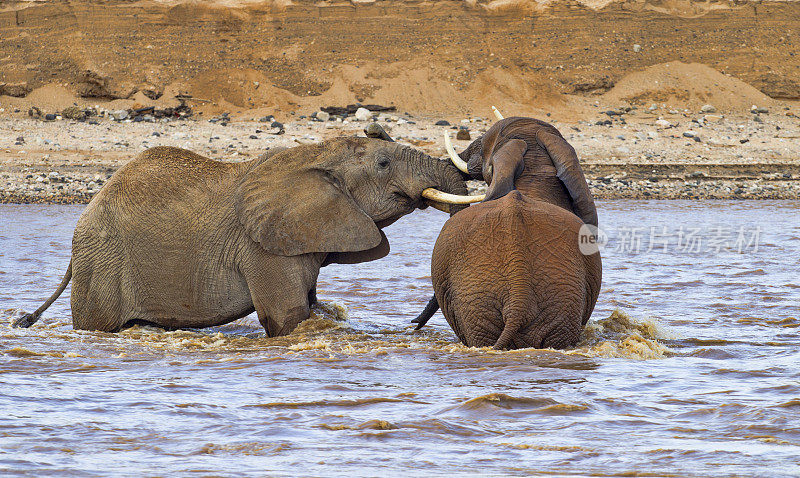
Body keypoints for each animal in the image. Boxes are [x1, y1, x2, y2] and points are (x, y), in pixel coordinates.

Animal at [14, 136, 476, 334]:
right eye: (383, 164)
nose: (412, 327)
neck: (315, 152)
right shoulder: (262, 248)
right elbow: (289, 318)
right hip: (102, 263)